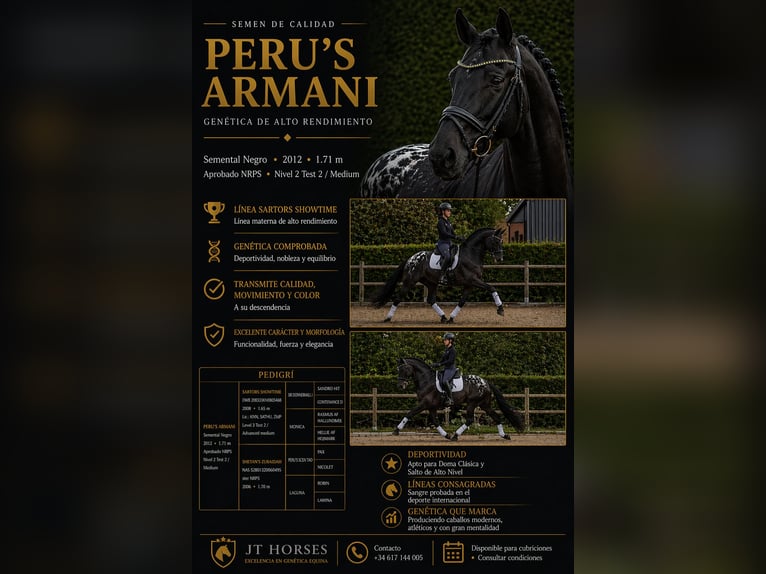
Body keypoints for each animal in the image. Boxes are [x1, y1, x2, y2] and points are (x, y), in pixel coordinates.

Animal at [370, 227, 505, 323]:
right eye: (496, 241)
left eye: (501, 241)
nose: (500, 258)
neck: (471, 254)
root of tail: (410, 259)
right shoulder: (473, 280)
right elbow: (492, 288)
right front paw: (500, 310)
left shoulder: (469, 284)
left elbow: (462, 301)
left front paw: (451, 318)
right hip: (410, 281)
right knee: (398, 298)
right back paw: (388, 318)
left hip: (431, 283)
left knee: (431, 300)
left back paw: (444, 317)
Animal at [393, 357, 525, 441]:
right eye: (398, 369)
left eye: (404, 369)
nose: (400, 386)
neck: (426, 380)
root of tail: (486, 382)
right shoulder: (431, 407)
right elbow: (435, 421)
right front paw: (446, 435)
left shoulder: (425, 403)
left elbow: (409, 413)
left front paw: (396, 430)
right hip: (484, 404)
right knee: (496, 417)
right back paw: (504, 436)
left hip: (472, 403)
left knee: (470, 419)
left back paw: (456, 436)